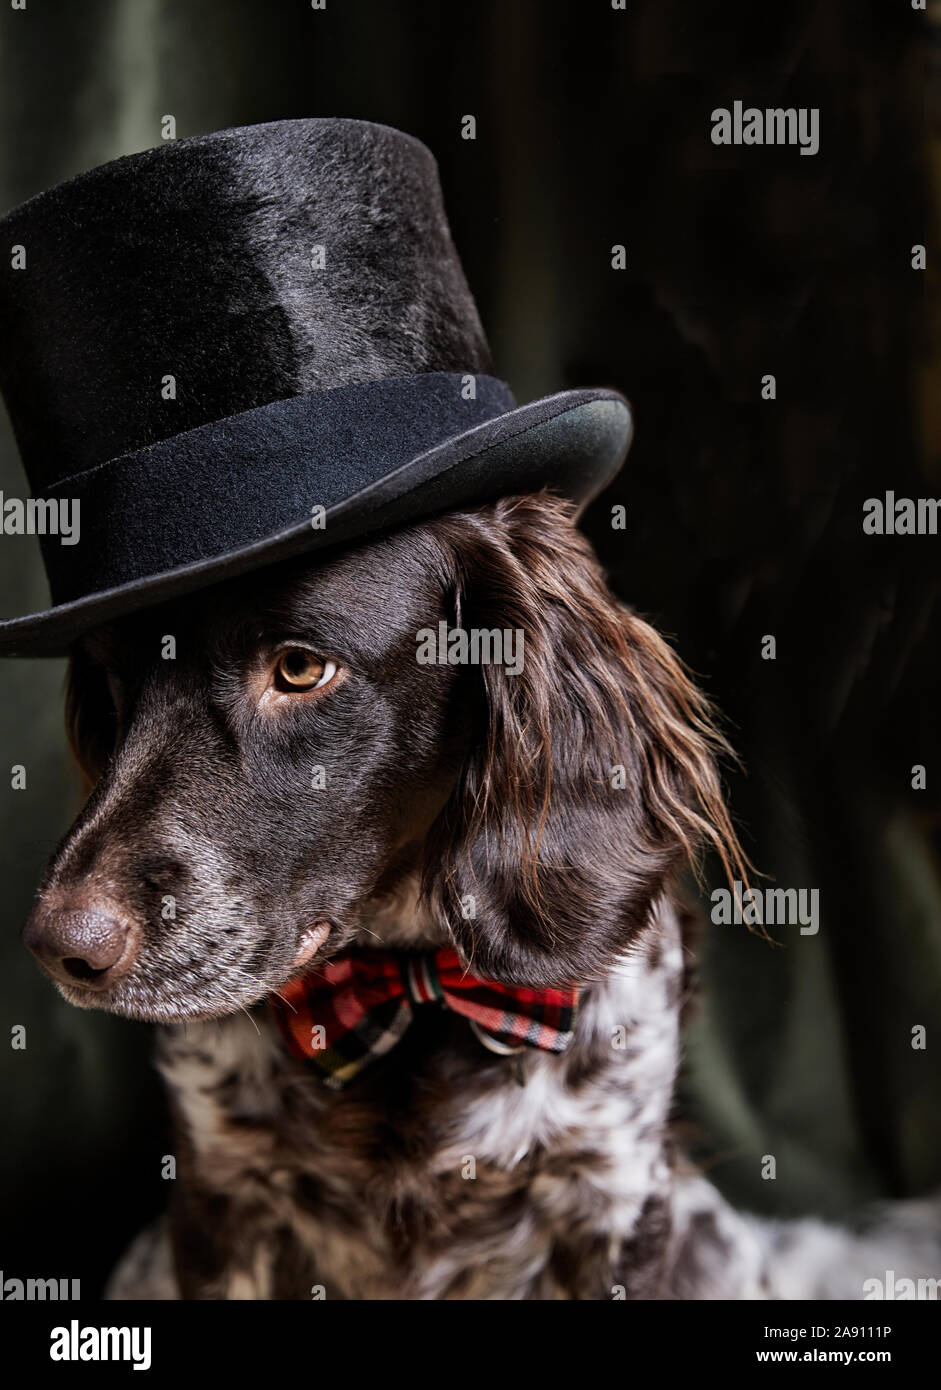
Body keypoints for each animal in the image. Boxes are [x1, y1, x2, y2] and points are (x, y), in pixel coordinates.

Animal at [22, 494, 939, 1295]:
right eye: (111, 682)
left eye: (299, 667)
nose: (62, 947)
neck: (405, 991)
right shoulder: (222, 1198)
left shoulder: (609, 1199)